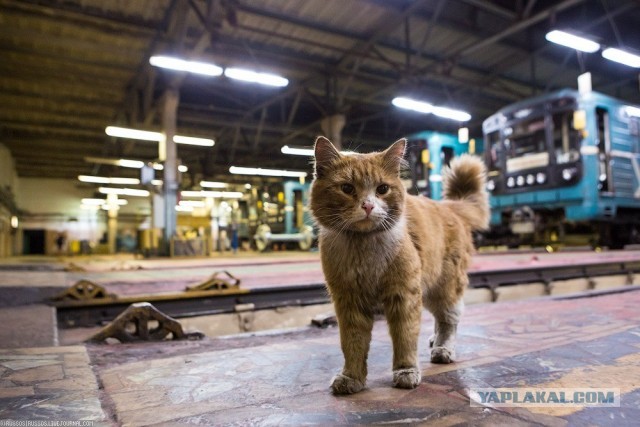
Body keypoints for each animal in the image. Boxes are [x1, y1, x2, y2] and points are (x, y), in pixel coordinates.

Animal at [310, 136, 490, 394]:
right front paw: (352, 377)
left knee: (449, 320)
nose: (368, 206)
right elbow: (352, 343)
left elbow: (405, 338)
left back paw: (443, 348)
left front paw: (406, 372)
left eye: (382, 189)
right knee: (441, 320)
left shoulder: (404, 295)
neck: (363, 249)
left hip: (444, 287)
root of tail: (448, 206)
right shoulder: (349, 300)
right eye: (347, 188)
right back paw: (434, 340)